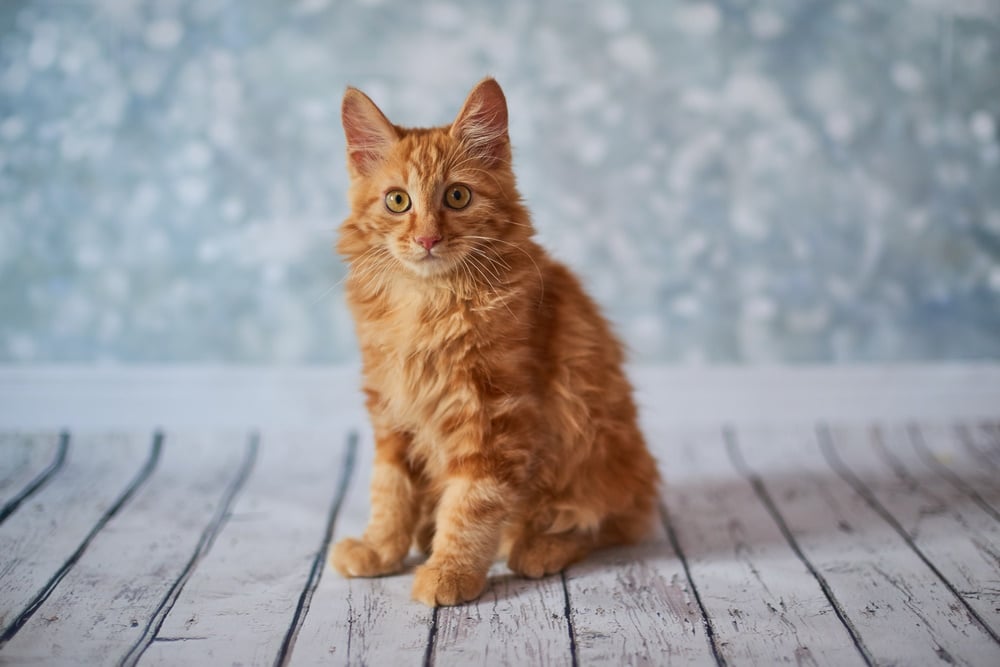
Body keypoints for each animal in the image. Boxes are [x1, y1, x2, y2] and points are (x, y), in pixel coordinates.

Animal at [328, 77, 660, 604]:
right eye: (397, 201)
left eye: (458, 196)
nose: (427, 239)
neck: (429, 304)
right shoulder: (390, 407)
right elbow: (390, 490)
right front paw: (380, 548)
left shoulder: (495, 418)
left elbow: (471, 504)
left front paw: (450, 572)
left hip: (594, 444)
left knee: (603, 521)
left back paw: (538, 546)